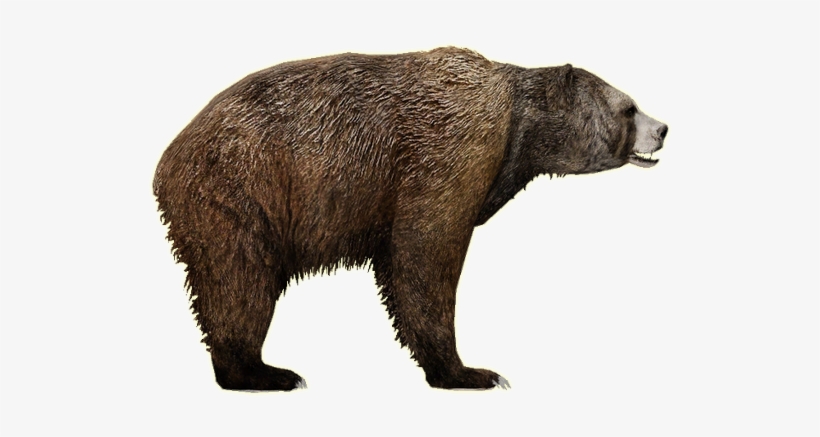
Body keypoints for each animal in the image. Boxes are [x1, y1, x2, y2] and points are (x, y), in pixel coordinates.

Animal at [153, 47, 668, 391]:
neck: (517, 130)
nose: (662, 129)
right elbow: (425, 250)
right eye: (628, 107)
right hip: (239, 188)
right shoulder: (454, 147)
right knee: (239, 278)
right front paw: (469, 371)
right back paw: (264, 372)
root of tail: (168, 157)